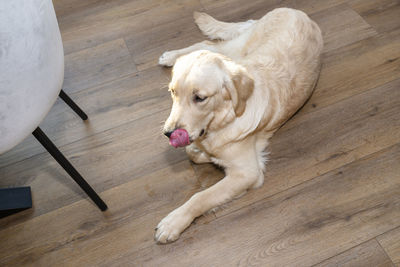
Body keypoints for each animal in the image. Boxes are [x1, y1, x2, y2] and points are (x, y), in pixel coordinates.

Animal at [155, 7, 324, 245]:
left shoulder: (247, 173)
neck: (223, 120)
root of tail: (297, 11)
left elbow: (201, 195)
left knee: (209, 45)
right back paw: (171, 55)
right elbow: (194, 153)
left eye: (200, 98)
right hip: (238, 49)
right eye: (173, 92)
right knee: (207, 44)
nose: (168, 133)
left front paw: (173, 222)